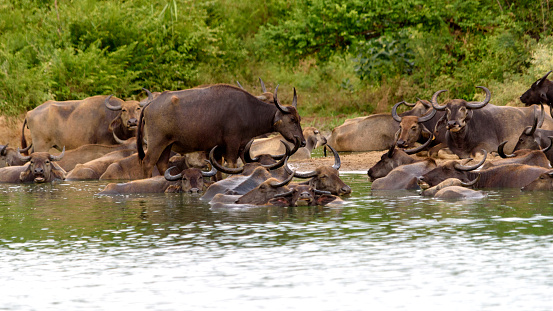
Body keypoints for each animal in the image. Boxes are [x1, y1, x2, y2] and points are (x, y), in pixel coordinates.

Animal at [136, 84, 304, 178]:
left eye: (300, 118)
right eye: (292, 119)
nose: (302, 141)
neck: (248, 111)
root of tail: (150, 104)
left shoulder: (234, 148)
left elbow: (219, 171)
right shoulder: (231, 146)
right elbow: (232, 167)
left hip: (168, 144)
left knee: (162, 164)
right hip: (157, 143)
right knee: (147, 162)